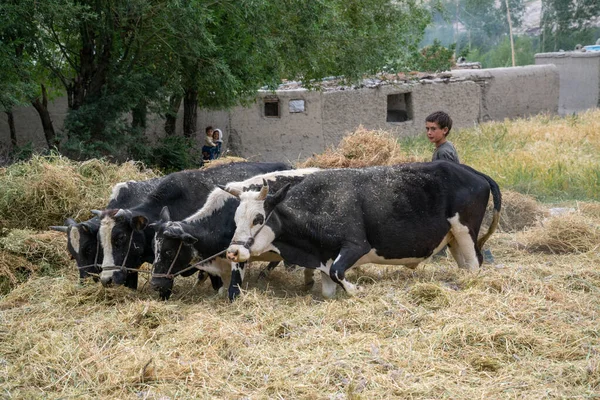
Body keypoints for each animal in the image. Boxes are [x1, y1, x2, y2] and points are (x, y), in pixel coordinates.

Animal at [225, 162, 502, 296]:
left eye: (258, 218)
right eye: (236, 219)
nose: (232, 252)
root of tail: (473, 172)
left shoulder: (356, 246)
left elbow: (338, 271)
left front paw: (357, 290)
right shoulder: (323, 258)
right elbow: (328, 286)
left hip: (466, 233)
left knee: (475, 264)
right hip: (454, 239)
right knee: (466, 266)